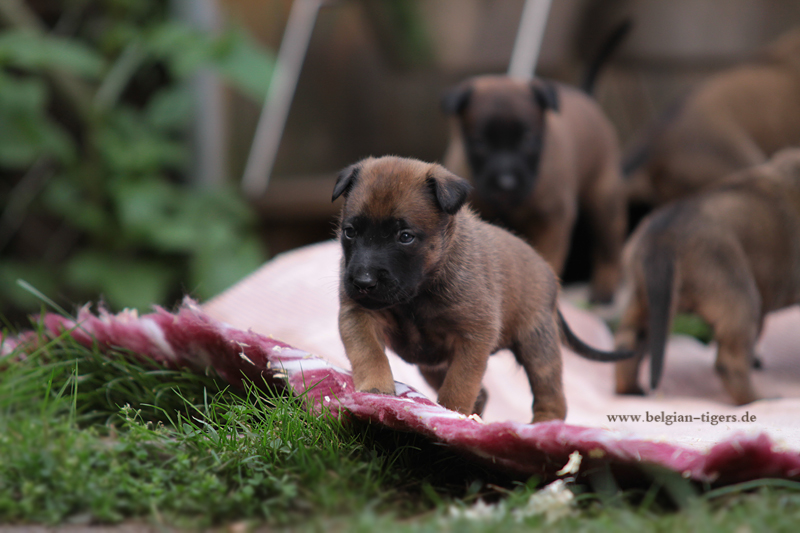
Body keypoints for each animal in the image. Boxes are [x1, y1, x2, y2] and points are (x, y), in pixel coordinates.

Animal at [332, 156, 634, 423]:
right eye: (350, 232)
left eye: (405, 237)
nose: (363, 282)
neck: (419, 294)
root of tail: (548, 273)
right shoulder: (359, 315)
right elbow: (369, 352)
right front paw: (376, 389)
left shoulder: (473, 337)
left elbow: (460, 384)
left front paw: (450, 414)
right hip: (432, 365)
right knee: (484, 393)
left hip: (538, 346)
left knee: (550, 393)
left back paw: (544, 425)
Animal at [441, 75, 627, 304]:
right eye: (480, 143)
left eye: (527, 139)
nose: (506, 183)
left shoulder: (551, 222)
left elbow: (547, 261)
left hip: (603, 201)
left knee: (609, 247)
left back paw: (605, 289)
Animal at [614, 148, 800, 405]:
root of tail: (662, 239)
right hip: (739, 297)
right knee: (729, 363)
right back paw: (759, 399)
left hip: (642, 301)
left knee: (627, 346)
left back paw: (630, 390)